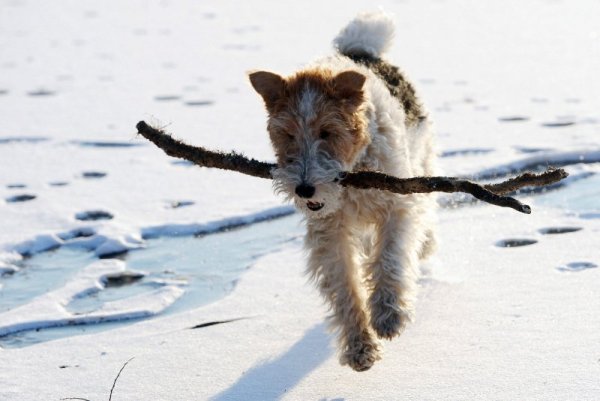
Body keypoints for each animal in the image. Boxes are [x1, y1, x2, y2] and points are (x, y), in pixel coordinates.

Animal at [248, 10, 436, 370]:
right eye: (287, 134)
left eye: (327, 131)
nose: (305, 189)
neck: (353, 177)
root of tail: (360, 48)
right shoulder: (330, 232)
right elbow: (345, 286)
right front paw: (360, 348)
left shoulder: (397, 206)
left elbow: (390, 258)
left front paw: (388, 316)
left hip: (422, 157)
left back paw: (427, 244)